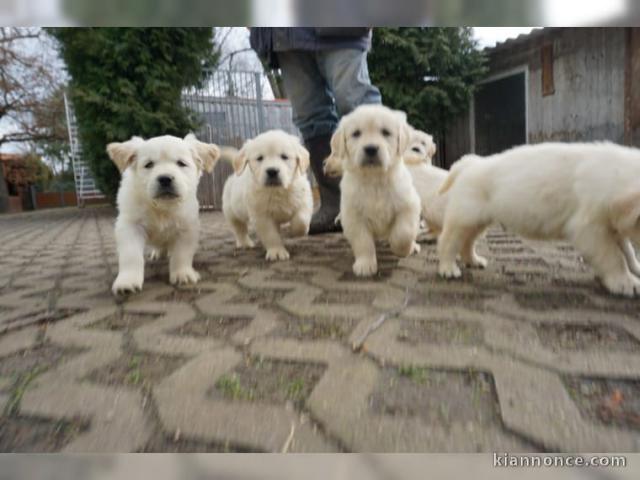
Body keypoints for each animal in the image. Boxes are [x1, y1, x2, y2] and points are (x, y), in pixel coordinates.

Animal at [107, 133, 220, 294]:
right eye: (149, 164)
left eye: (181, 163)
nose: (165, 178)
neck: (161, 208)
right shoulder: (130, 225)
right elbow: (131, 255)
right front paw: (127, 281)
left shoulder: (187, 227)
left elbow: (181, 253)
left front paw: (182, 274)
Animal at [221, 129, 314, 260]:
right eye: (260, 158)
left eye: (284, 156)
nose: (272, 171)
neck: (277, 191)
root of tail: (234, 175)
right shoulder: (261, 215)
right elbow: (271, 235)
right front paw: (277, 252)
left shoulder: (304, 200)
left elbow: (301, 220)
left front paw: (296, 231)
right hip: (232, 212)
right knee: (239, 228)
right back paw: (244, 243)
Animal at [324, 105, 424, 278]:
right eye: (356, 133)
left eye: (385, 132)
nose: (371, 149)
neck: (374, 179)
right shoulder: (353, 216)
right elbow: (362, 241)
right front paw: (365, 265)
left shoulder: (408, 206)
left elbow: (403, 233)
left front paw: (402, 249)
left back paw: (413, 246)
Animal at [438, 141, 640, 296]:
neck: (615, 173)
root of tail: (471, 162)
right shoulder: (589, 228)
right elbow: (613, 256)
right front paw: (626, 282)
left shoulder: (611, 225)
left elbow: (627, 252)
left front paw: (635, 269)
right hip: (464, 217)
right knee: (449, 241)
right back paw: (448, 268)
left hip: (477, 220)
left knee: (467, 241)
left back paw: (473, 261)